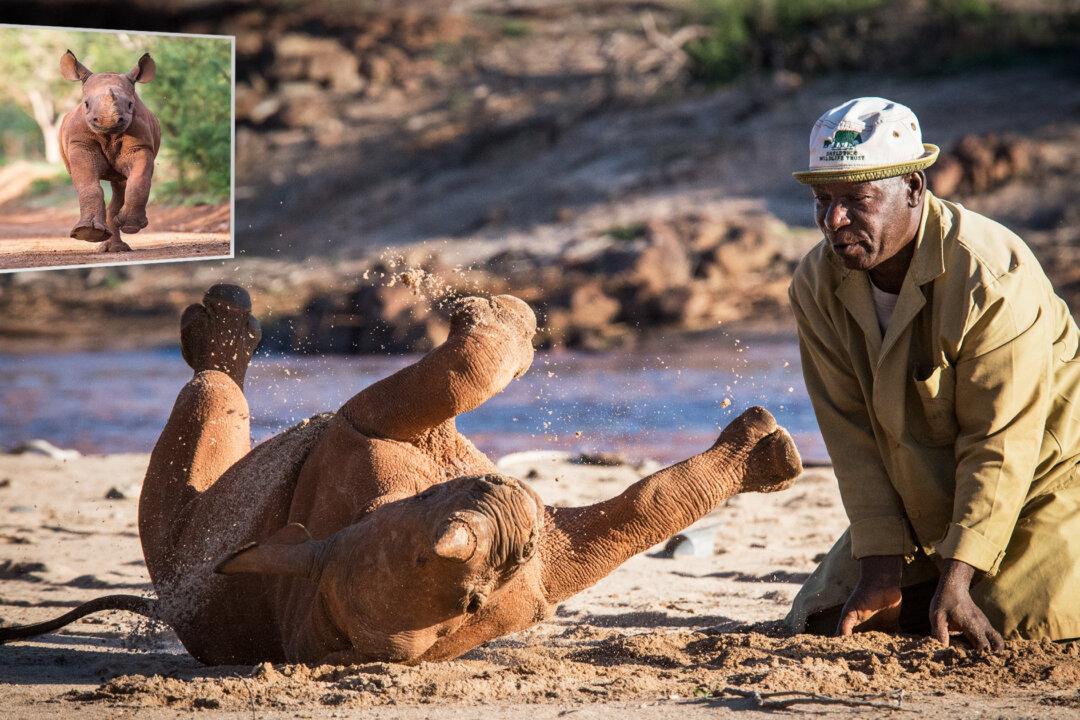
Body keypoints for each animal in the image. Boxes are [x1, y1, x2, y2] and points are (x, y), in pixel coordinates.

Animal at [0, 284, 802, 664]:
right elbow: (459, 376)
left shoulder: (539, 566)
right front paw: (500, 315)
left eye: (474, 603)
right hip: (181, 543)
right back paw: (223, 323)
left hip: (189, 550)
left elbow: (644, 508)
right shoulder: (366, 436)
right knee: (208, 416)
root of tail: (165, 607)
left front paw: (773, 458)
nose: (510, 524)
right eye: (428, 557)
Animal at [58, 50, 161, 253]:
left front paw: (131, 225)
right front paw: (87, 233)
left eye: (130, 104)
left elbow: (139, 181)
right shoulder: (80, 144)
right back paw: (106, 244)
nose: (108, 122)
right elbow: (89, 184)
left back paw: (117, 246)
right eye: (86, 104)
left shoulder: (141, 146)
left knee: (121, 184)